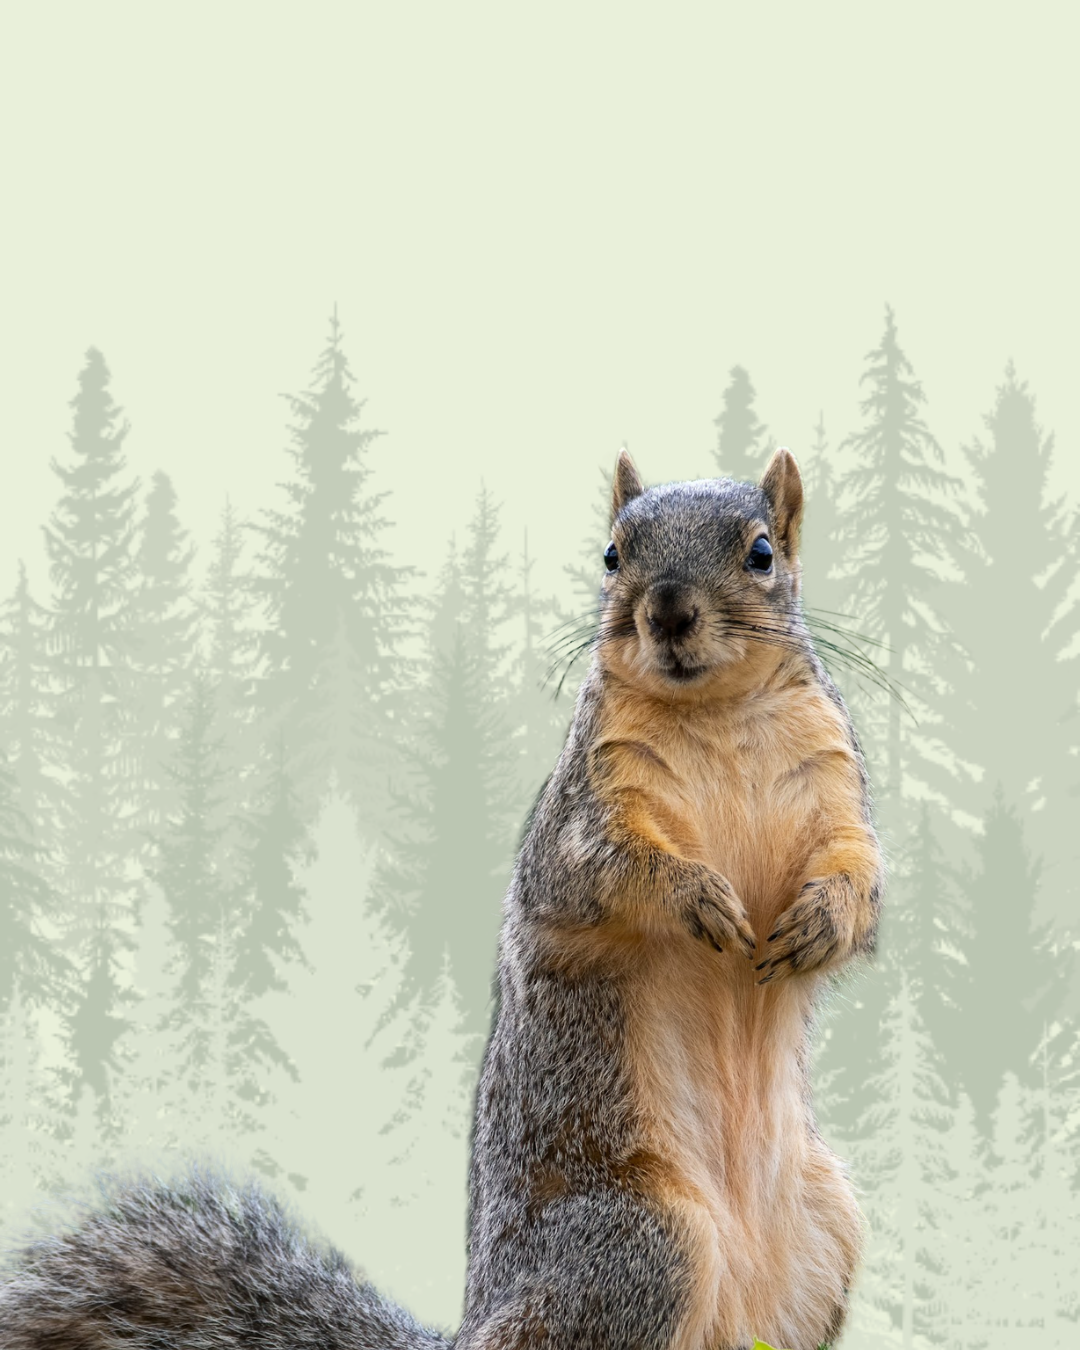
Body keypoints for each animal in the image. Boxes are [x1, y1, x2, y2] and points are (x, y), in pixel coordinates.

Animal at [0, 447, 883, 1350]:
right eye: (611, 555)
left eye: (761, 553)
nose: (667, 611)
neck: (715, 713)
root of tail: (479, 1325)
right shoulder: (581, 813)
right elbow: (603, 872)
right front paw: (694, 895)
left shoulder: (836, 790)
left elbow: (863, 879)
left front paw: (825, 918)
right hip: (640, 1242)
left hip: (825, 1229)